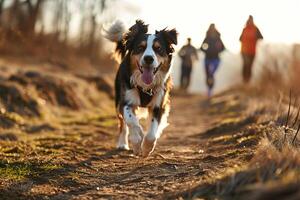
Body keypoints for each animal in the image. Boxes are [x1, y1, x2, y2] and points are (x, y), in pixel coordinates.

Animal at [105, 19, 177, 158]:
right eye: (140, 47)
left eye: (158, 48)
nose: (148, 58)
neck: (145, 86)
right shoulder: (125, 101)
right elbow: (131, 121)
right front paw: (138, 141)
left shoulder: (159, 105)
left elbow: (152, 132)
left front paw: (146, 148)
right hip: (117, 101)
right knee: (122, 124)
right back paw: (123, 143)